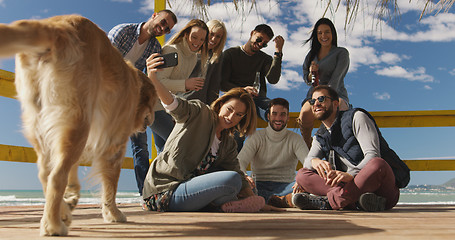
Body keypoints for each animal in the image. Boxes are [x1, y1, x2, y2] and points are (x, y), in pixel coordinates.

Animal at [0, 15, 157, 236]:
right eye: (154, 103)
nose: (154, 118)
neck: (134, 84)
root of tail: (57, 27)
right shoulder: (115, 144)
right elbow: (111, 184)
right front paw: (113, 213)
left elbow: (73, 171)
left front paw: (72, 195)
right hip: (78, 120)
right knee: (56, 176)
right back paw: (53, 225)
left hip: (44, 122)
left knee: (46, 173)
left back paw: (62, 213)